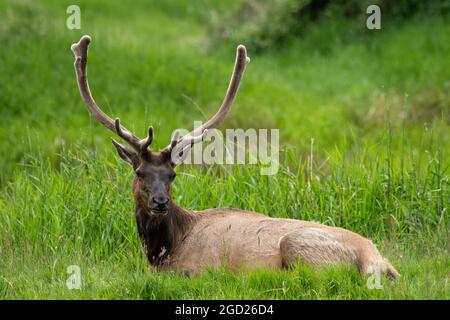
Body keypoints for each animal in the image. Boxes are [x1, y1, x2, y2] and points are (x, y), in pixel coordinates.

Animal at [69, 35, 398, 278]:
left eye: (172, 175)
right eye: (139, 173)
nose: (160, 201)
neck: (163, 250)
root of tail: (378, 261)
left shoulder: (194, 270)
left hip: (297, 246)